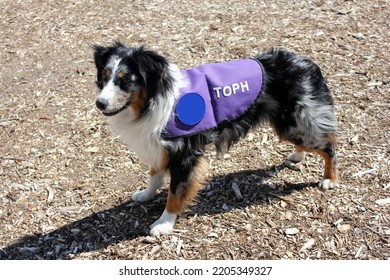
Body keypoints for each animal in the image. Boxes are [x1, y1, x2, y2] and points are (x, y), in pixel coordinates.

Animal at [92, 42, 338, 236]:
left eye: (125, 80)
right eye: (104, 77)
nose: (100, 103)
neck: (153, 99)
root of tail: (306, 62)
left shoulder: (184, 155)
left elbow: (175, 192)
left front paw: (164, 223)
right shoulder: (159, 146)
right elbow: (154, 174)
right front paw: (146, 194)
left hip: (294, 123)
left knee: (329, 145)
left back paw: (330, 179)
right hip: (288, 124)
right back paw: (297, 155)